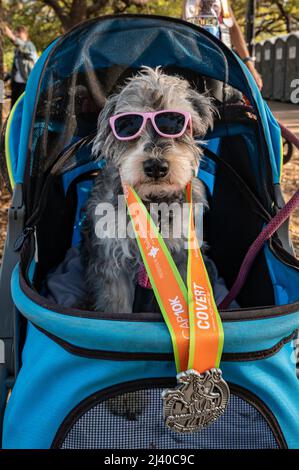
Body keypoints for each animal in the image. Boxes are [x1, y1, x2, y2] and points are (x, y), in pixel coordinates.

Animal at [82, 65, 218, 312]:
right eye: (127, 126)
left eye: (175, 123)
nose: (156, 167)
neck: (154, 202)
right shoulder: (113, 265)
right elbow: (116, 308)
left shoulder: (183, 256)